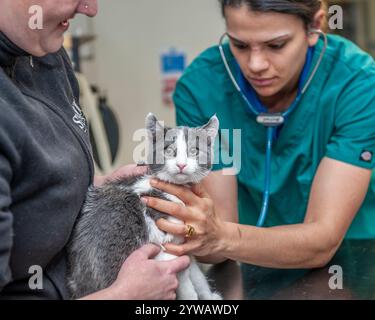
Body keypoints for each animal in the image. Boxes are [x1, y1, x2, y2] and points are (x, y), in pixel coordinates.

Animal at [66, 113, 222, 300]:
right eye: (168, 150)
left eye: (195, 151)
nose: (181, 165)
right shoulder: (168, 246)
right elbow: (185, 279)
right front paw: (192, 295)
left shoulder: (183, 246)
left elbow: (196, 273)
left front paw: (208, 295)